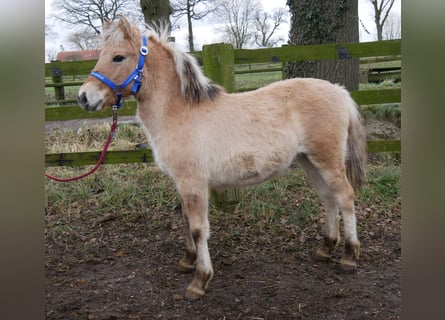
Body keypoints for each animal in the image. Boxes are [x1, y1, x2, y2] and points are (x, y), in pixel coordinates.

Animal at [78, 15, 366, 300]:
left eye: (118, 57)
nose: (83, 97)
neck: (180, 112)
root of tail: (339, 91)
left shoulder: (193, 183)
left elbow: (198, 228)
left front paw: (200, 280)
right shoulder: (182, 183)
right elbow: (186, 220)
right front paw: (188, 260)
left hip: (327, 160)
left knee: (345, 196)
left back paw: (349, 256)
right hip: (309, 160)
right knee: (328, 198)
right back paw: (326, 248)